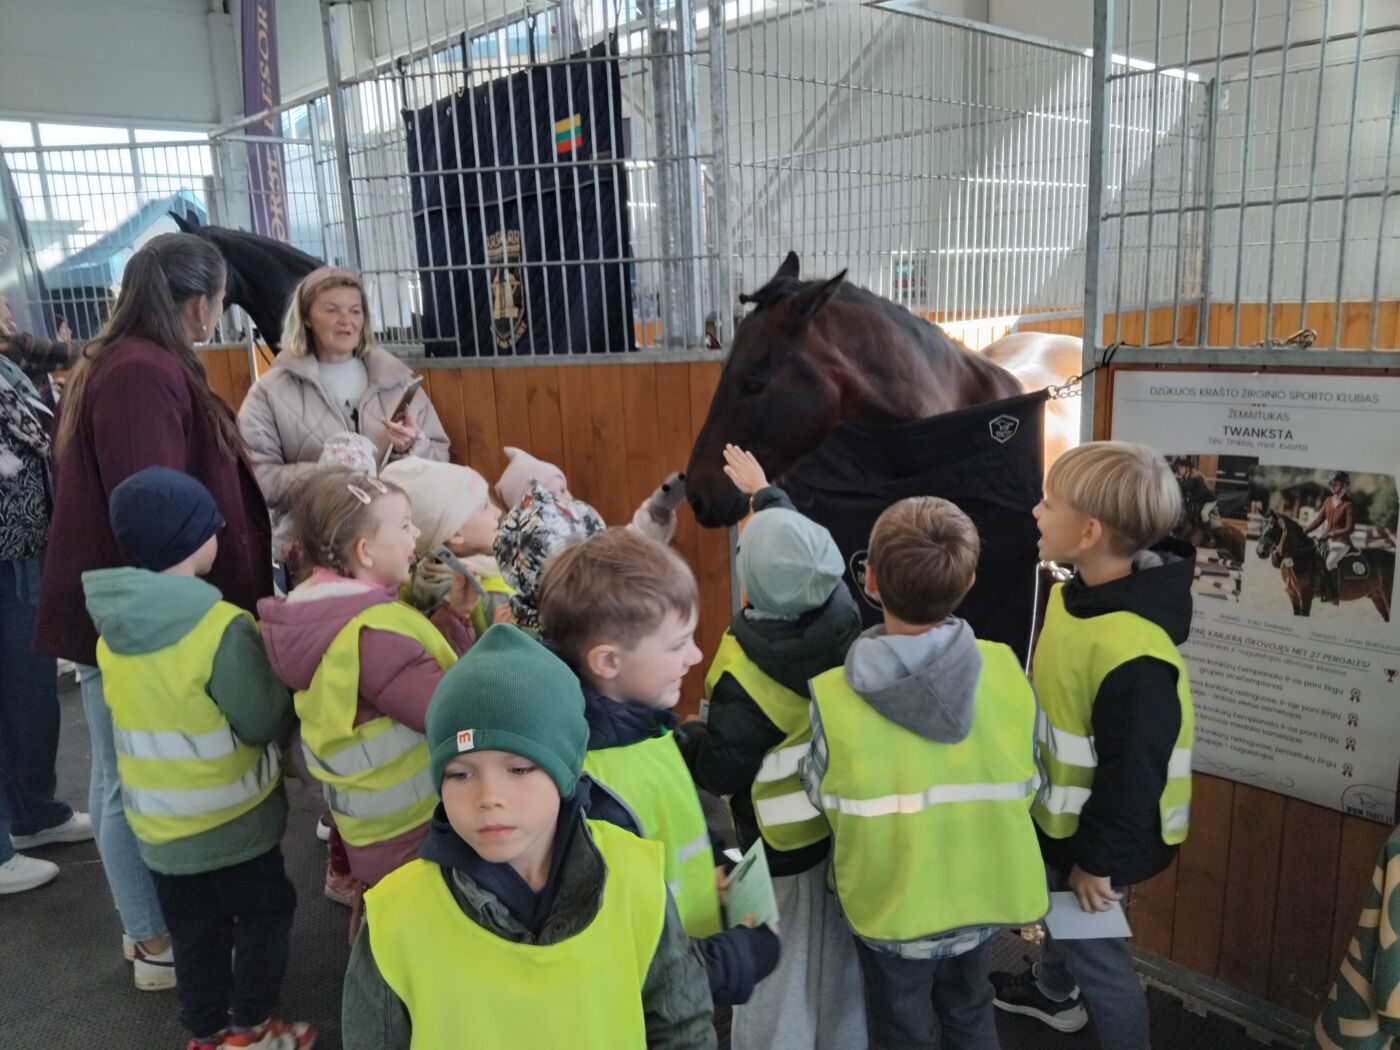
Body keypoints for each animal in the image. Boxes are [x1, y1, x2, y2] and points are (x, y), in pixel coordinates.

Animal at [1255, 510, 1393, 621]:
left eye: (1273, 528)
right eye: (1261, 527)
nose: (1260, 552)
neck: (1299, 555)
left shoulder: (1306, 595)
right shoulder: (1293, 595)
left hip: (1387, 595)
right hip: (1377, 596)